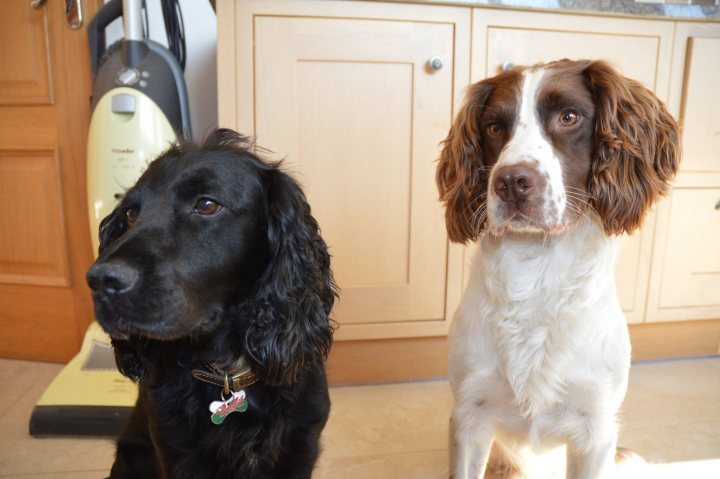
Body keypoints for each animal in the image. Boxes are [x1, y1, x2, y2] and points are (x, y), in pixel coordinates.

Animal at [85, 130, 338, 479]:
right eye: (130, 213)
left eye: (207, 204)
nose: (100, 281)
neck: (230, 373)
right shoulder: (177, 454)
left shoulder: (301, 445)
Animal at [438, 61, 680, 479]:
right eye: (494, 127)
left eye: (569, 117)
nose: (511, 183)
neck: (537, 269)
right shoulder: (470, 414)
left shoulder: (595, 429)